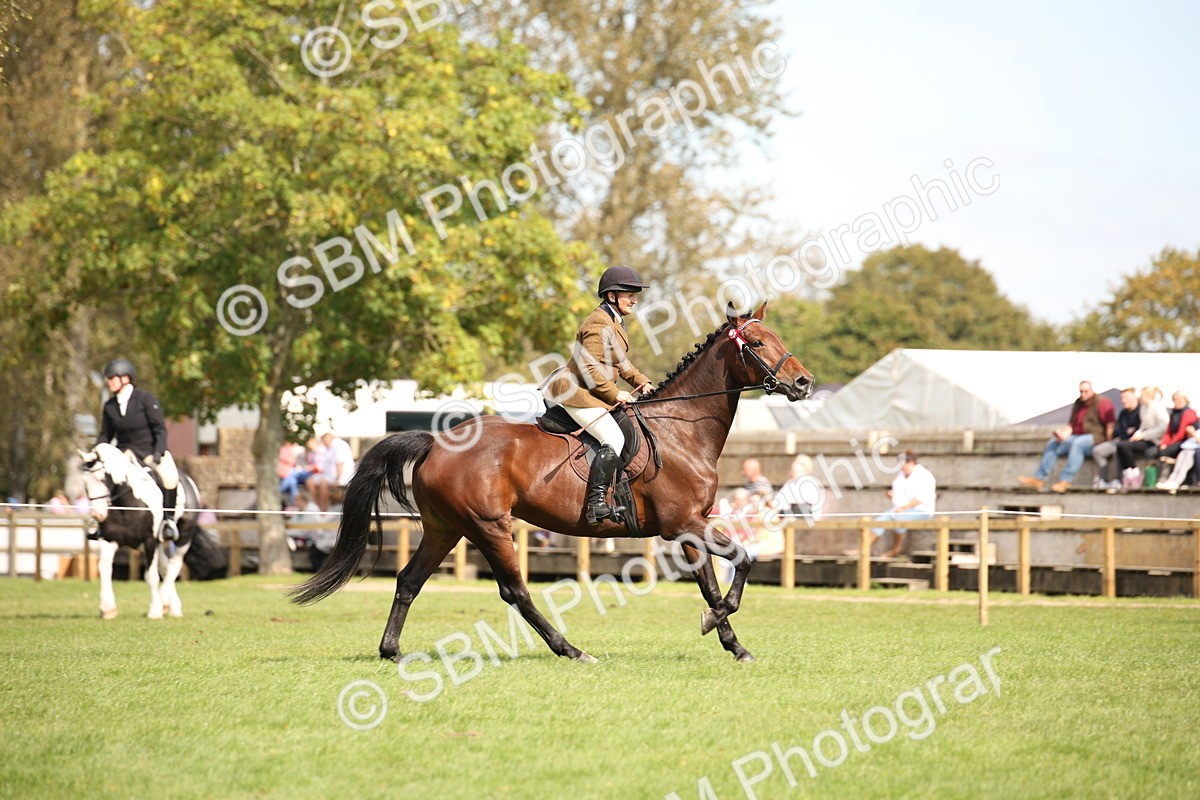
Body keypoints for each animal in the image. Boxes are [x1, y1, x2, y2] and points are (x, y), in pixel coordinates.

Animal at [79, 443, 225, 619]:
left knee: (174, 565)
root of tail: (187, 478)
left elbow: (151, 576)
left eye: (102, 478)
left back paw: (166, 602)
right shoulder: (110, 539)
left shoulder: (149, 540)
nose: (98, 515)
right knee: (166, 566)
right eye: (85, 483)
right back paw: (171, 605)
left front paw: (155, 610)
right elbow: (105, 568)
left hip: (183, 537)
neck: (127, 504)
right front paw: (108, 608)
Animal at [291, 301, 814, 662]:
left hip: (446, 527)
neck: (681, 428)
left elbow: (709, 582)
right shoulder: (684, 522)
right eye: (758, 344)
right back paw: (572, 650)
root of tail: (437, 441)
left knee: (409, 581)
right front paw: (715, 622)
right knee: (515, 591)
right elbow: (743, 560)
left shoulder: (691, 525)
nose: (805, 383)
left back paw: (391, 650)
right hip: (489, 526)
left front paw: (731, 641)